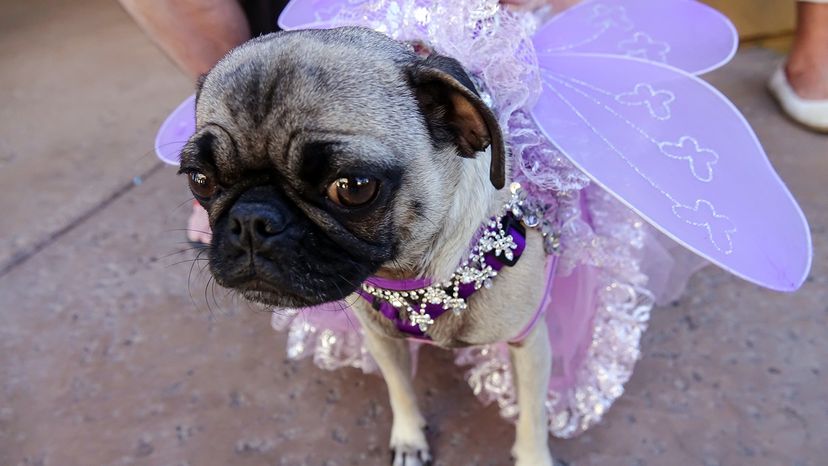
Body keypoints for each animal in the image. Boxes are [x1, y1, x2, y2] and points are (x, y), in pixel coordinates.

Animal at [181, 26, 556, 466]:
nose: (252, 220)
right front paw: (409, 438)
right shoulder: (381, 340)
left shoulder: (528, 344)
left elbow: (532, 415)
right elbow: (399, 389)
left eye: (353, 188)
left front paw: (533, 456)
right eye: (200, 180)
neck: (413, 279)